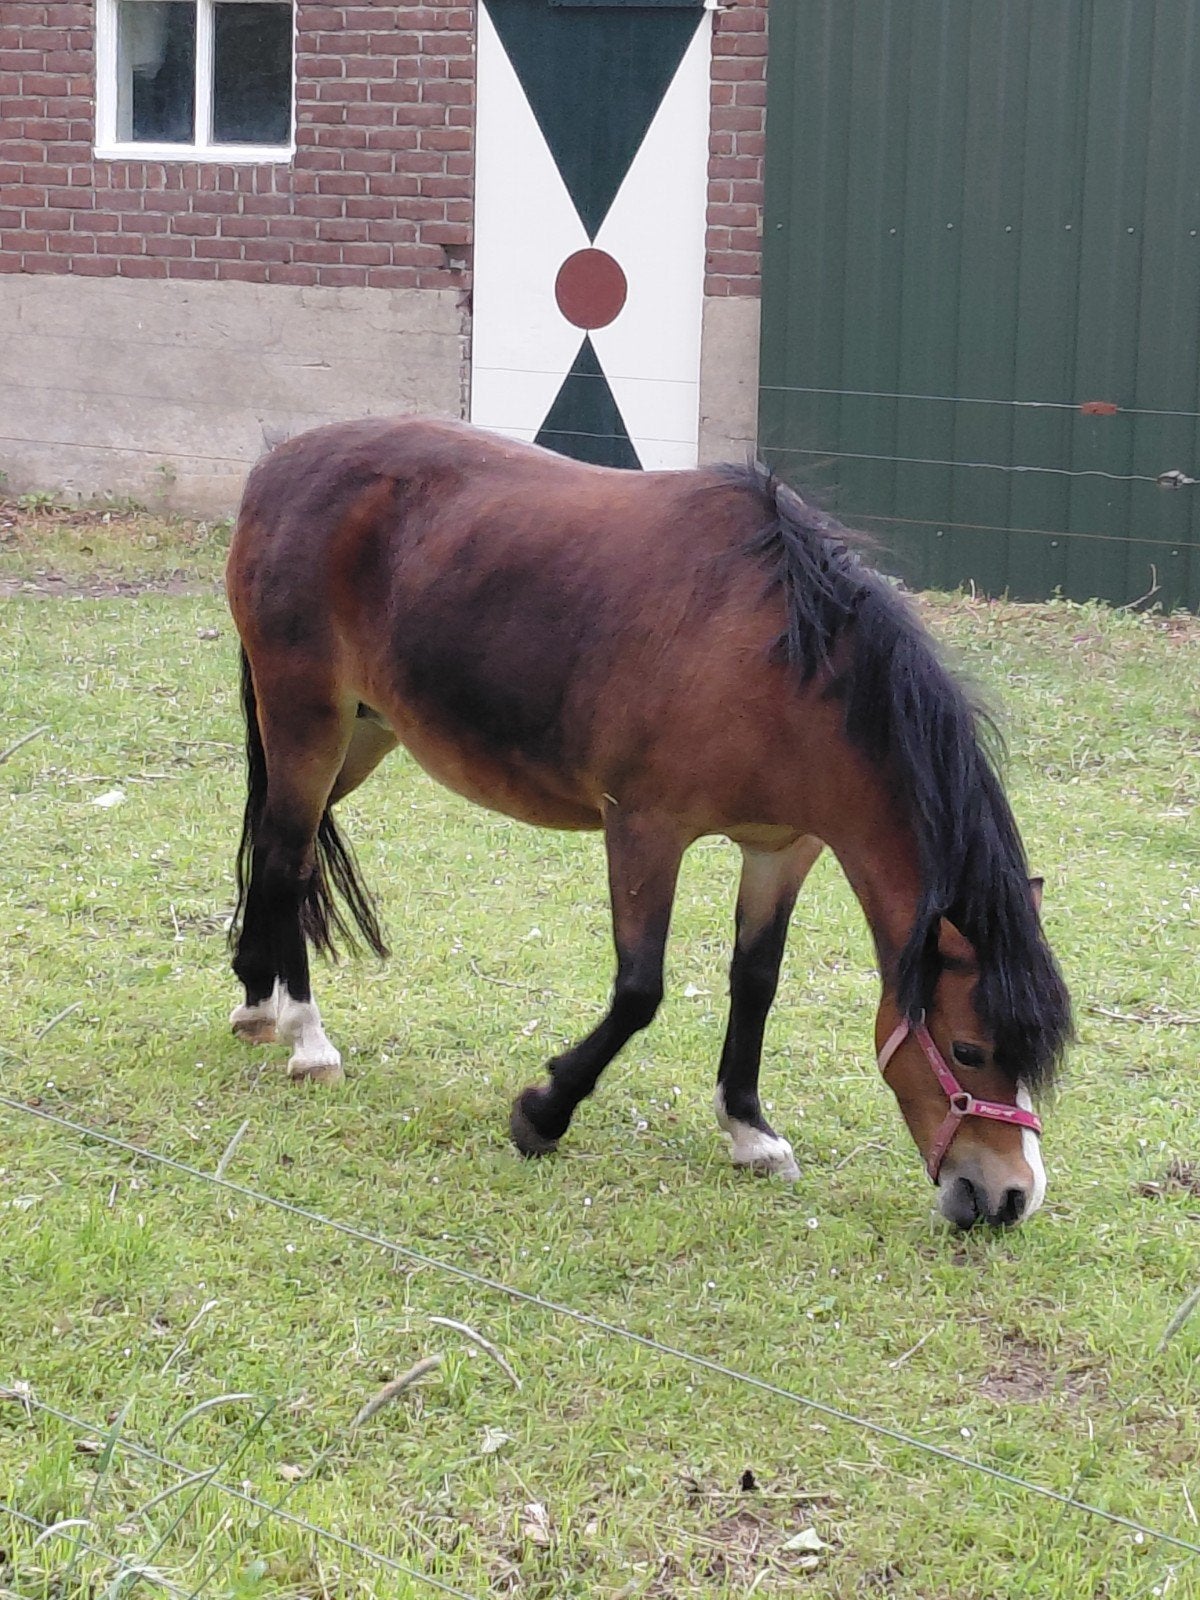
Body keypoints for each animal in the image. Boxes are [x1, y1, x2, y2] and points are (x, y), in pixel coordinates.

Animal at [224, 416, 1072, 1230]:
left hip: (363, 732)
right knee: (288, 858)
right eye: (969, 1049)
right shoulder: (644, 831)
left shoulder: (784, 850)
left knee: (276, 846)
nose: (1010, 1197)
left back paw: (257, 996)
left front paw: (749, 1130)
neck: (782, 666)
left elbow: (756, 981)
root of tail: (276, 466)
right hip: (308, 718)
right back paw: (305, 1035)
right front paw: (544, 1111)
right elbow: (639, 990)